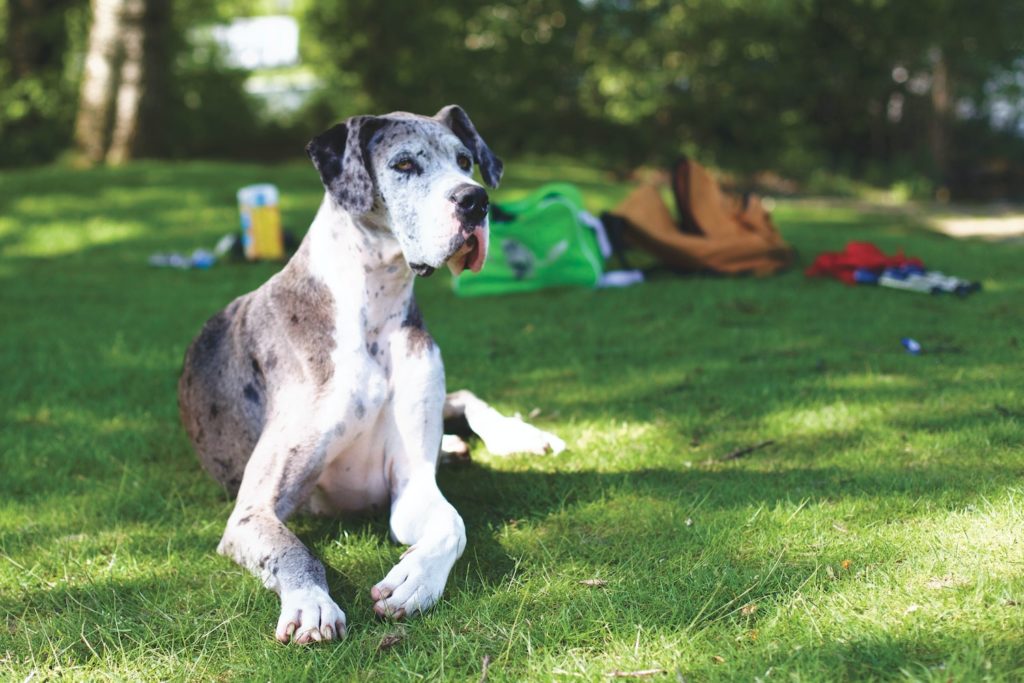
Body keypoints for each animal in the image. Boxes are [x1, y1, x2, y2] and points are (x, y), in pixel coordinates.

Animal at [176, 107, 561, 647]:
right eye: (403, 164)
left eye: (465, 161)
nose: (475, 200)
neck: (373, 310)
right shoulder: (253, 510)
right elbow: (294, 550)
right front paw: (311, 603)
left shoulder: (412, 485)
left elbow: (453, 524)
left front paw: (416, 580)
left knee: (464, 397)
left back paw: (515, 435)